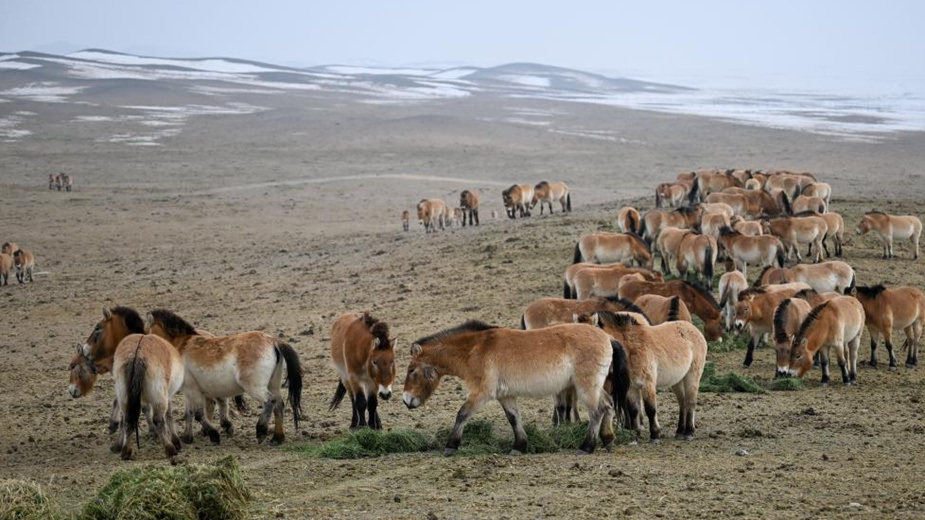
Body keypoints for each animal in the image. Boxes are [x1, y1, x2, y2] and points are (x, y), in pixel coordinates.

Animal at [145, 309, 303, 446]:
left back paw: (261, 431)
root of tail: (274, 342)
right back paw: (277, 438)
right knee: (279, 405)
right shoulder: (190, 391)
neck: (182, 345)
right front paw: (187, 437)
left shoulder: (191, 389)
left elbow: (198, 414)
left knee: (270, 401)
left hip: (255, 388)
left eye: (146, 332)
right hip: (273, 385)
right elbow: (190, 413)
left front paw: (214, 435)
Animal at [402, 321, 624, 455]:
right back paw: (608, 440)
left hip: (586, 387)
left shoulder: (481, 393)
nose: (406, 400)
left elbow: (462, 414)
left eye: (411, 370)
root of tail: (608, 338)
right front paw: (519, 446)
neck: (476, 349)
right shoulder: (505, 396)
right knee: (607, 406)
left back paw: (586, 447)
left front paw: (451, 446)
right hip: (594, 387)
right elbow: (514, 418)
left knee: (596, 411)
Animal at [578, 311, 706, 442]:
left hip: (692, 376)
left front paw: (655, 435)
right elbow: (634, 410)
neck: (631, 347)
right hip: (677, 381)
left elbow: (650, 409)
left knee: (690, 402)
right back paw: (680, 431)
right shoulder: (632, 387)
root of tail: (694, 329)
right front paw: (637, 435)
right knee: (682, 403)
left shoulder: (647, 384)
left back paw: (689, 432)